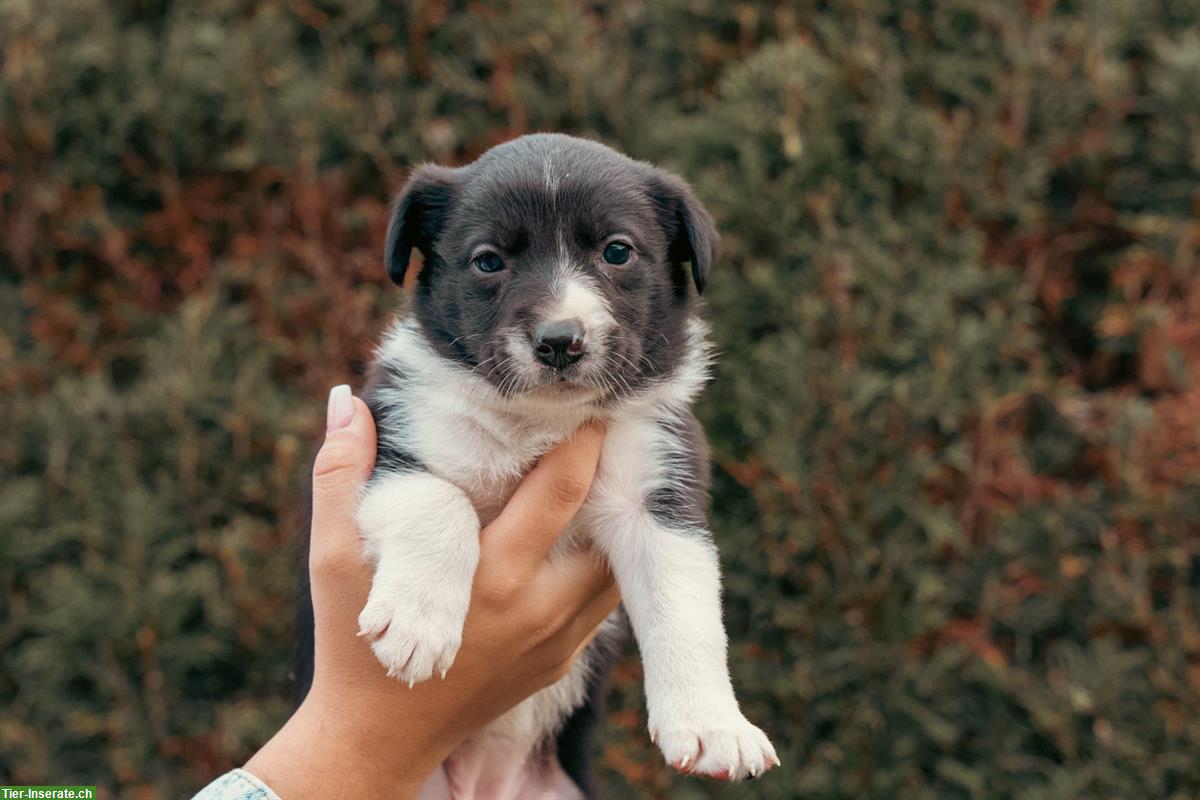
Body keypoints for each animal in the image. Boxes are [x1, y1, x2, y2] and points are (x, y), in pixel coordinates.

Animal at [295, 134, 772, 796]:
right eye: (488, 261)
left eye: (617, 252)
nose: (559, 340)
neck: (541, 419)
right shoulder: (397, 444)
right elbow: (441, 502)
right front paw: (418, 623)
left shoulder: (658, 490)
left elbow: (686, 608)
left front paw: (713, 726)